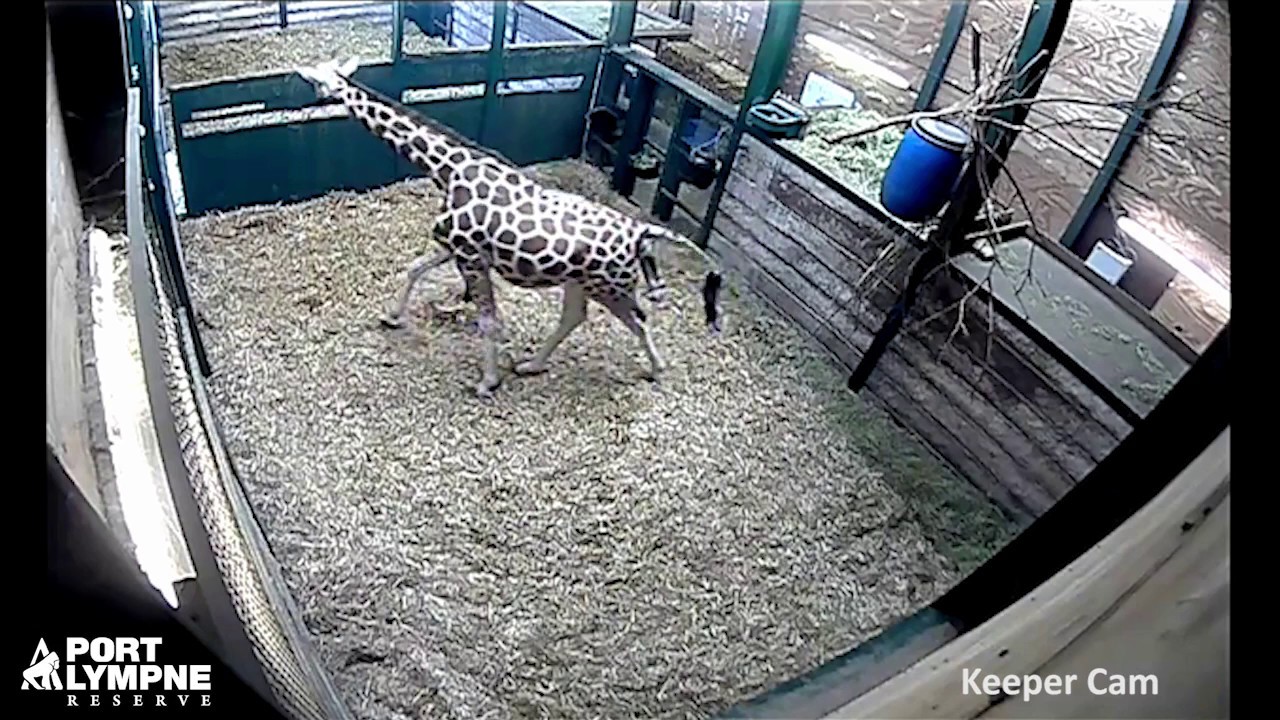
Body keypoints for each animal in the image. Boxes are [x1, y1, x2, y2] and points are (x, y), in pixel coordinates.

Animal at [296, 58, 725, 398]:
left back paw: (656, 369)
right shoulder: (452, 244)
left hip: (611, 286)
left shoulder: (469, 255)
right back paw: (531, 365)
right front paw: (391, 317)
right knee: (576, 317)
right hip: (581, 281)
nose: (311, 96)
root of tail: (639, 233)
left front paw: (487, 382)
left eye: (317, 80)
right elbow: (413, 269)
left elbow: (488, 320)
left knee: (638, 319)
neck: (447, 168)